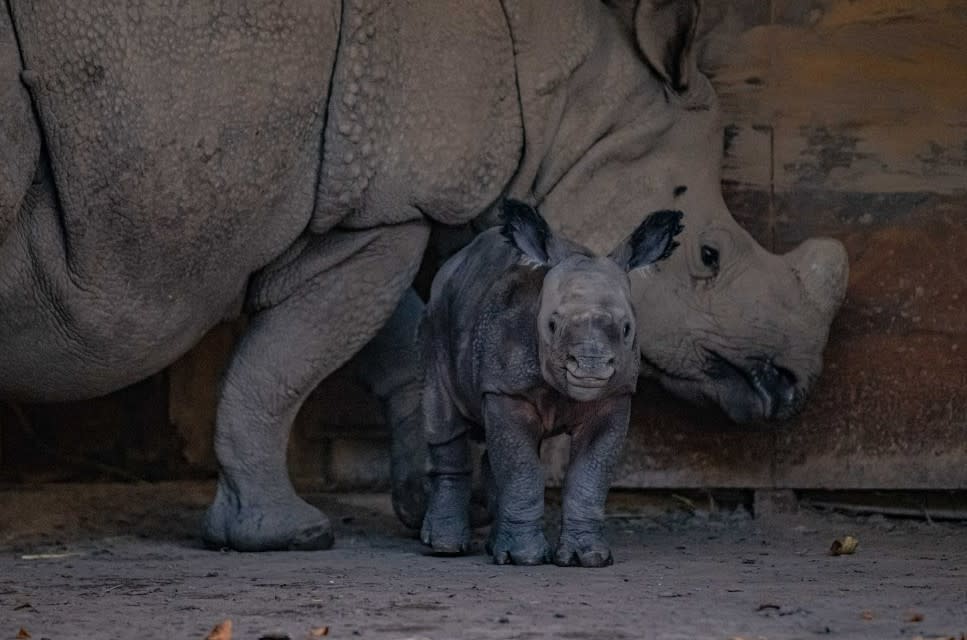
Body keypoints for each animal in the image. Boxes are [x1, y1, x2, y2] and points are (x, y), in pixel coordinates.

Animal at [420, 199, 684, 564]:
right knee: (444, 419)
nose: (590, 366)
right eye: (552, 325)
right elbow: (522, 468)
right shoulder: (506, 388)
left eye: (627, 328)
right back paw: (445, 548)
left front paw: (589, 557)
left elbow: (589, 474)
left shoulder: (616, 394)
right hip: (437, 315)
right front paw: (525, 558)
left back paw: (492, 546)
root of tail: (455, 262)